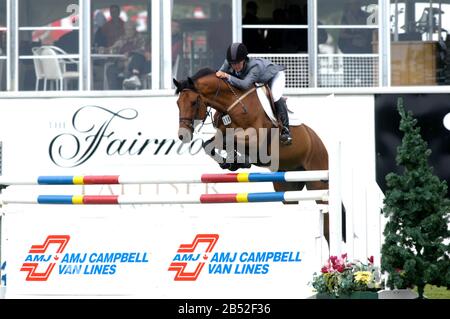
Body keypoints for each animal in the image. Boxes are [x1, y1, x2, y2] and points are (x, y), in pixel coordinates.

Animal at [174, 66, 332, 242]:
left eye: (194, 102)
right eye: (178, 103)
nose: (183, 136)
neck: (231, 105)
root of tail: (319, 142)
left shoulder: (257, 140)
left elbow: (230, 140)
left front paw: (238, 161)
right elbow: (209, 145)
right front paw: (229, 162)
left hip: (318, 184)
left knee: (327, 222)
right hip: (286, 187)